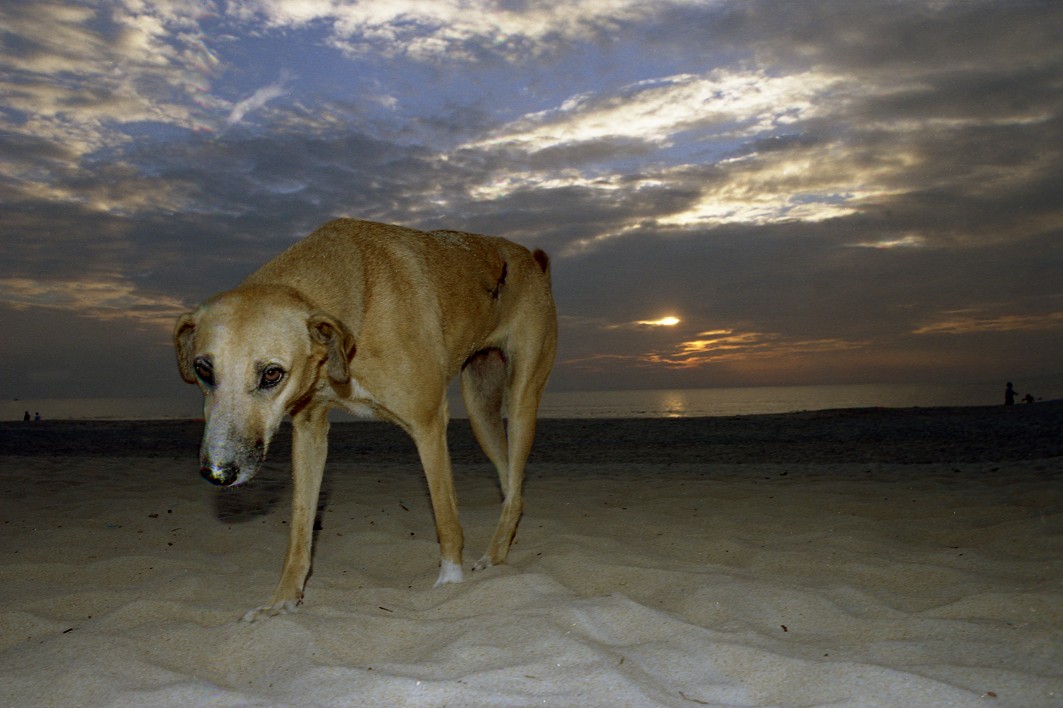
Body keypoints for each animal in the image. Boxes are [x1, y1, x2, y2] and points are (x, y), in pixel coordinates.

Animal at [174, 218, 557, 616]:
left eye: (271, 374)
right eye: (203, 369)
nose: (217, 473)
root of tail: (532, 261)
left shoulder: (428, 423)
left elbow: (445, 517)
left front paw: (450, 584)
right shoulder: (309, 430)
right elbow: (299, 531)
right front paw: (282, 601)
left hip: (522, 400)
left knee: (515, 482)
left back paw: (492, 557)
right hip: (481, 411)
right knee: (512, 487)